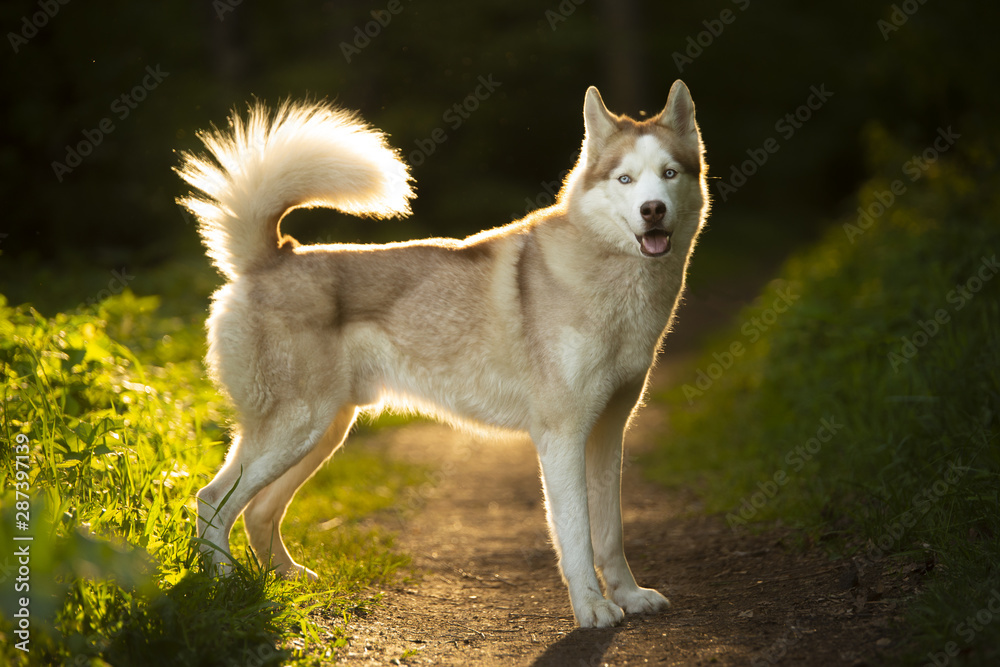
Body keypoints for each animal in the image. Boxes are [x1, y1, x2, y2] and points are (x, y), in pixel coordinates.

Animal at [180, 81, 712, 628]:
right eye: (625, 179)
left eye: (669, 173)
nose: (653, 210)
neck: (614, 283)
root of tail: (270, 256)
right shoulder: (561, 436)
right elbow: (576, 537)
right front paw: (591, 607)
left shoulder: (608, 433)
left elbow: (610, 533)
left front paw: (628, 595)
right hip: (294, 431)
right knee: (212, 501)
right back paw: (225, 584)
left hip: (321, 434)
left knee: (259, 511)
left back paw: (289, 582)